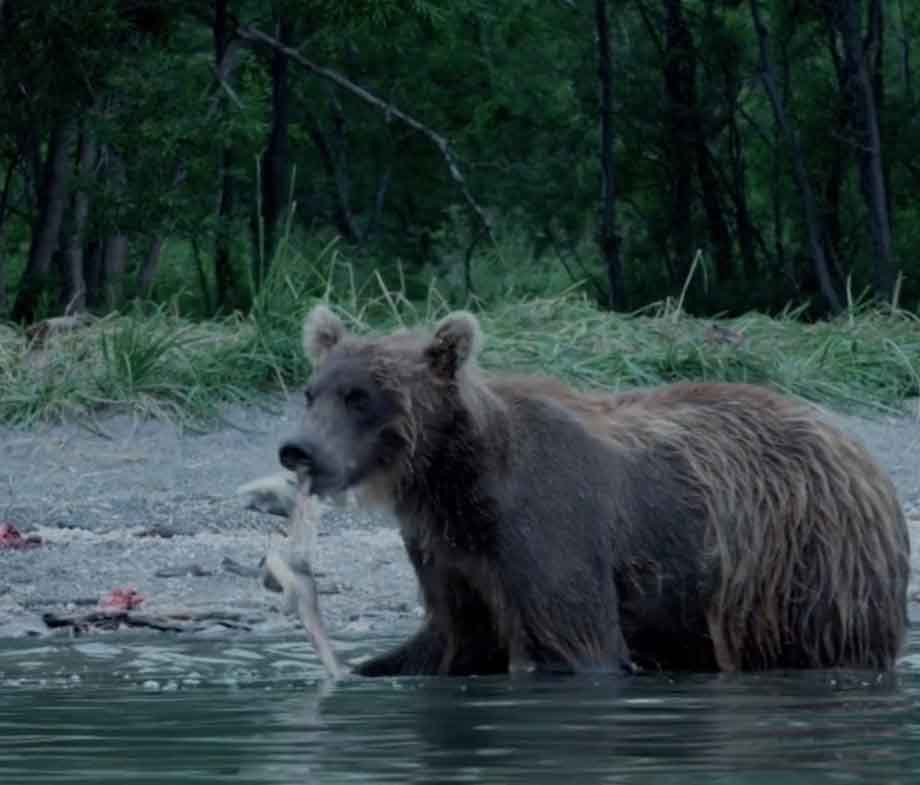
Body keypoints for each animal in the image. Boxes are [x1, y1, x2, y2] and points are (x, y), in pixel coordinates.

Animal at [280, 304, 912, 676]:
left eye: (361, 396)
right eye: (313, 390)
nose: (298, 449)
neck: (454, 479)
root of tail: (857, 446)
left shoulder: (548, 519)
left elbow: (571, 642)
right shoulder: (452, 552)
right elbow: (445, 640)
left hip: (807, 563)